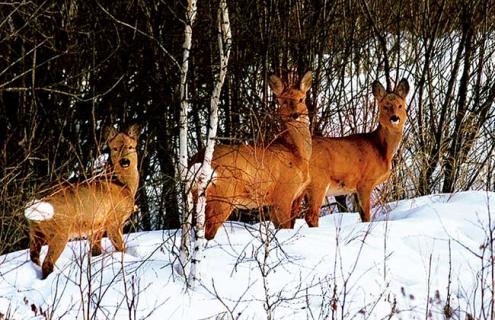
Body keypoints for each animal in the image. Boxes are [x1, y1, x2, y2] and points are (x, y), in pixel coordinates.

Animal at [25, 124, 141, 278]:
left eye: (130, 147)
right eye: (115, 148)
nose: (125, 162)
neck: (124, 185)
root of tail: (35, 203)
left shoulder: (96, 227)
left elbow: (95, 251)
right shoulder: (113, 220)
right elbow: (121, 248)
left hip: (35, 232)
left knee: (34, 257)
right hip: (60, 230)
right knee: (47, 263)